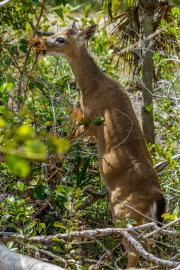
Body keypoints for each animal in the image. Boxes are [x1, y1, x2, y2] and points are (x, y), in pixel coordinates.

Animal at [43, 23, 166, 268]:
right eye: (55, 32)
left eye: (61, 39)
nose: (44, 43)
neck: (91, 85)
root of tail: (156, 196)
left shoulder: (90, 120)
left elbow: (67, 140)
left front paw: (51, 164)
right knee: (150, 248)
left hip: (122, 212)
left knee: (134, 251)